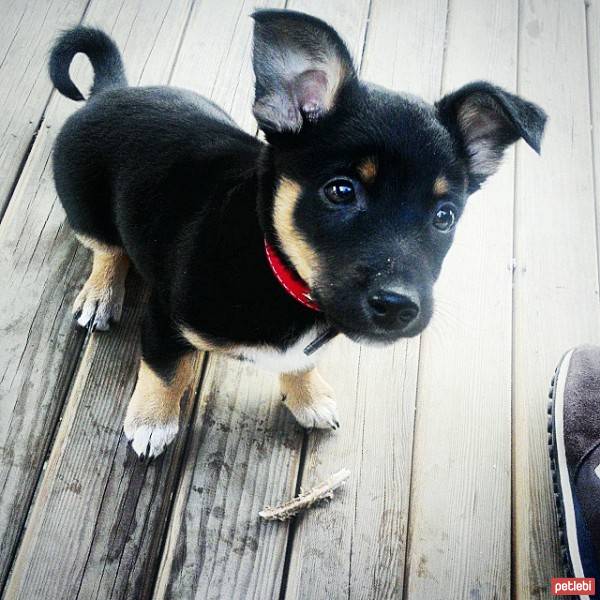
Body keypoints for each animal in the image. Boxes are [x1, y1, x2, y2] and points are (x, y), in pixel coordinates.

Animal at [49, 11, 548, 458]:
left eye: (445, 216)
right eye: (341, 190)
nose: (399, 308)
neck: (276, 268)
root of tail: (111, 90)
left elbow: (303, 361)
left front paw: (308, 396)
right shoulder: (165, 318)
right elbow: (165, 370)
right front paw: (152, 421)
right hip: (83, 206)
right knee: (107, 250)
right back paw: (100, 295)